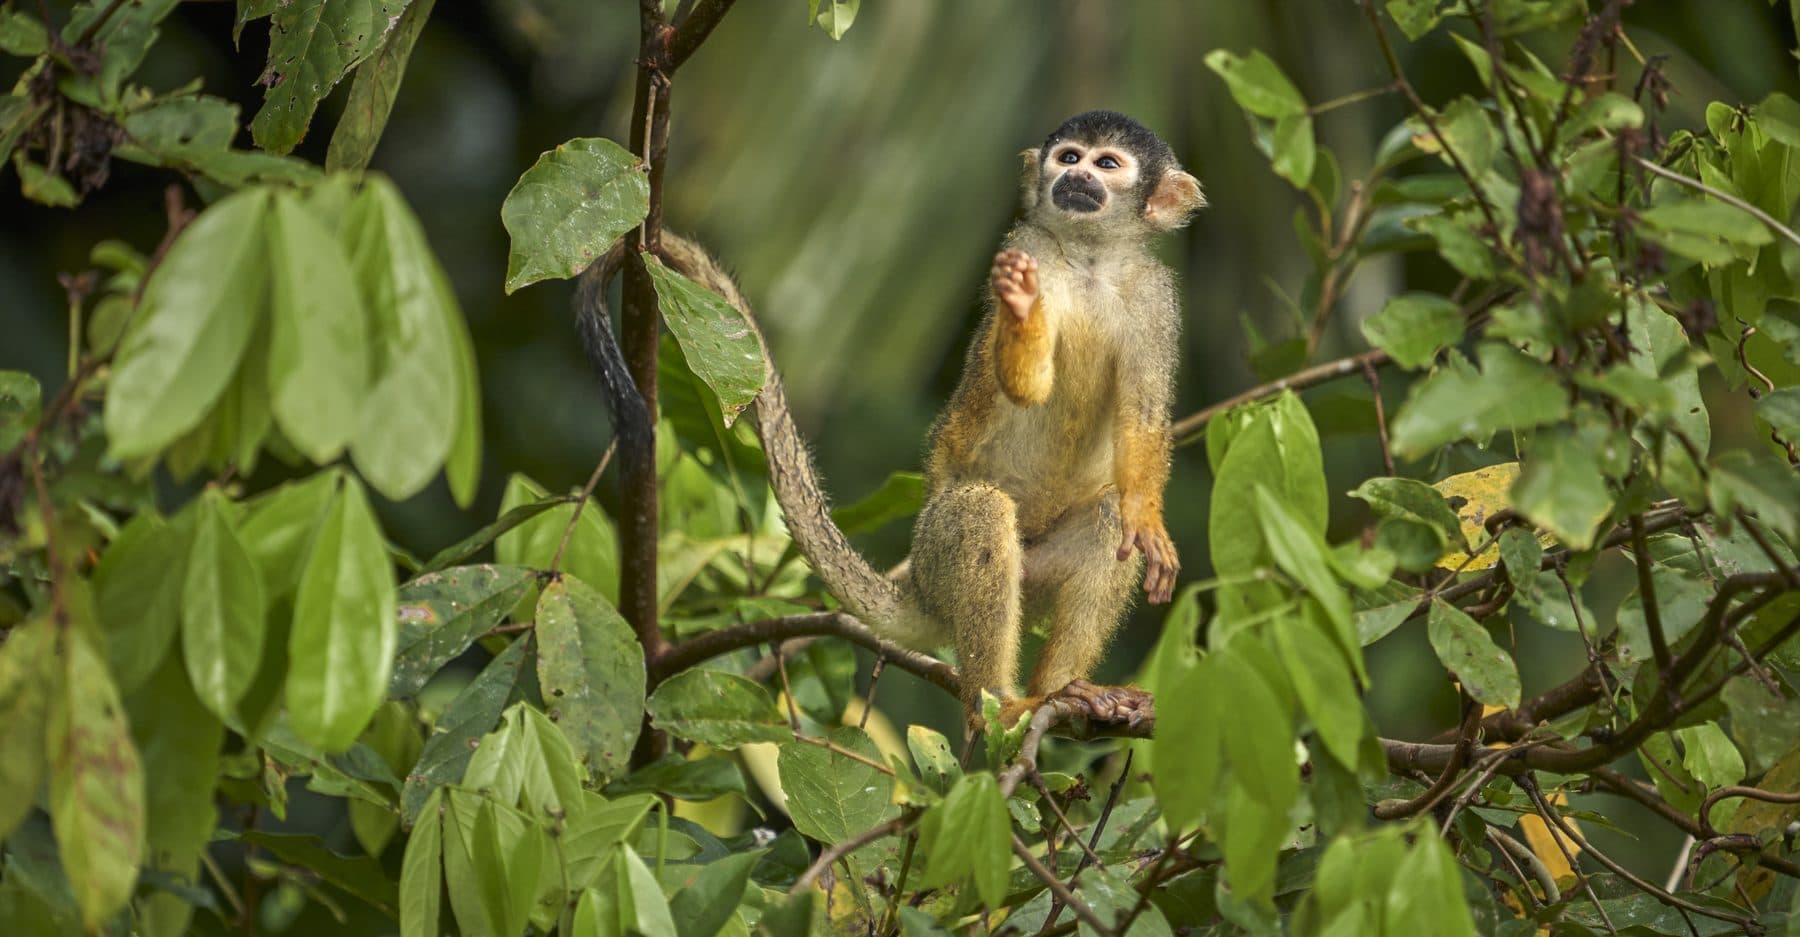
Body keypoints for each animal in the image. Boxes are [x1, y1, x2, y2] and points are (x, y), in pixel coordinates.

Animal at [577, 111, 1203, 731]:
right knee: (977, 514)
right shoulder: (1026, 246)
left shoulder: (1157, 297)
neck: (1088, 261)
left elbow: (1143, 416)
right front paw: (1022, 309)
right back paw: (999, 706)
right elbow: (1021, 386)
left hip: (1035, 579)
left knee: (1106, 519)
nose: (1076, 179)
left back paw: (1063, 690)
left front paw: (1147, 518)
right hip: (938, 559)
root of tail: (922, 591)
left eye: (1107, 164)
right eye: (1069, 157)